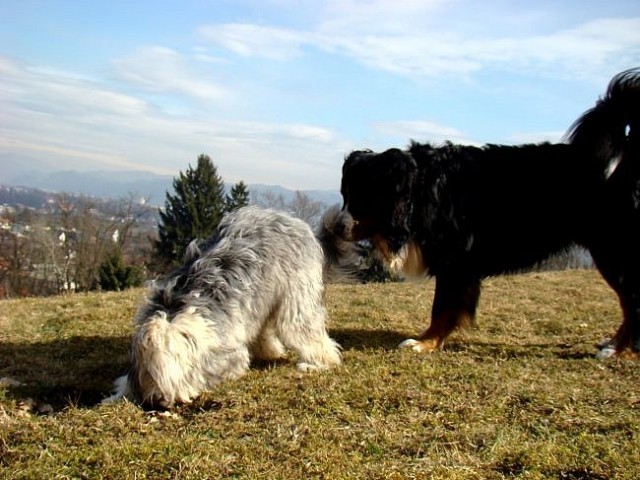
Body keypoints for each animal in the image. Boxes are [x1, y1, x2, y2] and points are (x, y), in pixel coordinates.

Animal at [104, 206, 344, 408]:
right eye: (150, 374)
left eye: (176, 376)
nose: (158, 401)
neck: (177, 310)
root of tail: (296, 222)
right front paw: (116, 395)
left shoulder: (228, 351)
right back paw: (270, 351)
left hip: (296, 297)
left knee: (303, 329)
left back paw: (319, 363)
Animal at [336, 69, 640, 358]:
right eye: (345, 194)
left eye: (364, 196)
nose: (337, 227)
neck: (424, 189)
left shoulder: (456, 262)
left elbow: (441, 308)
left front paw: (425, 343)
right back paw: (614, 343)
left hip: (612, 249)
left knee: (632, 300)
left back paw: (619, 349)